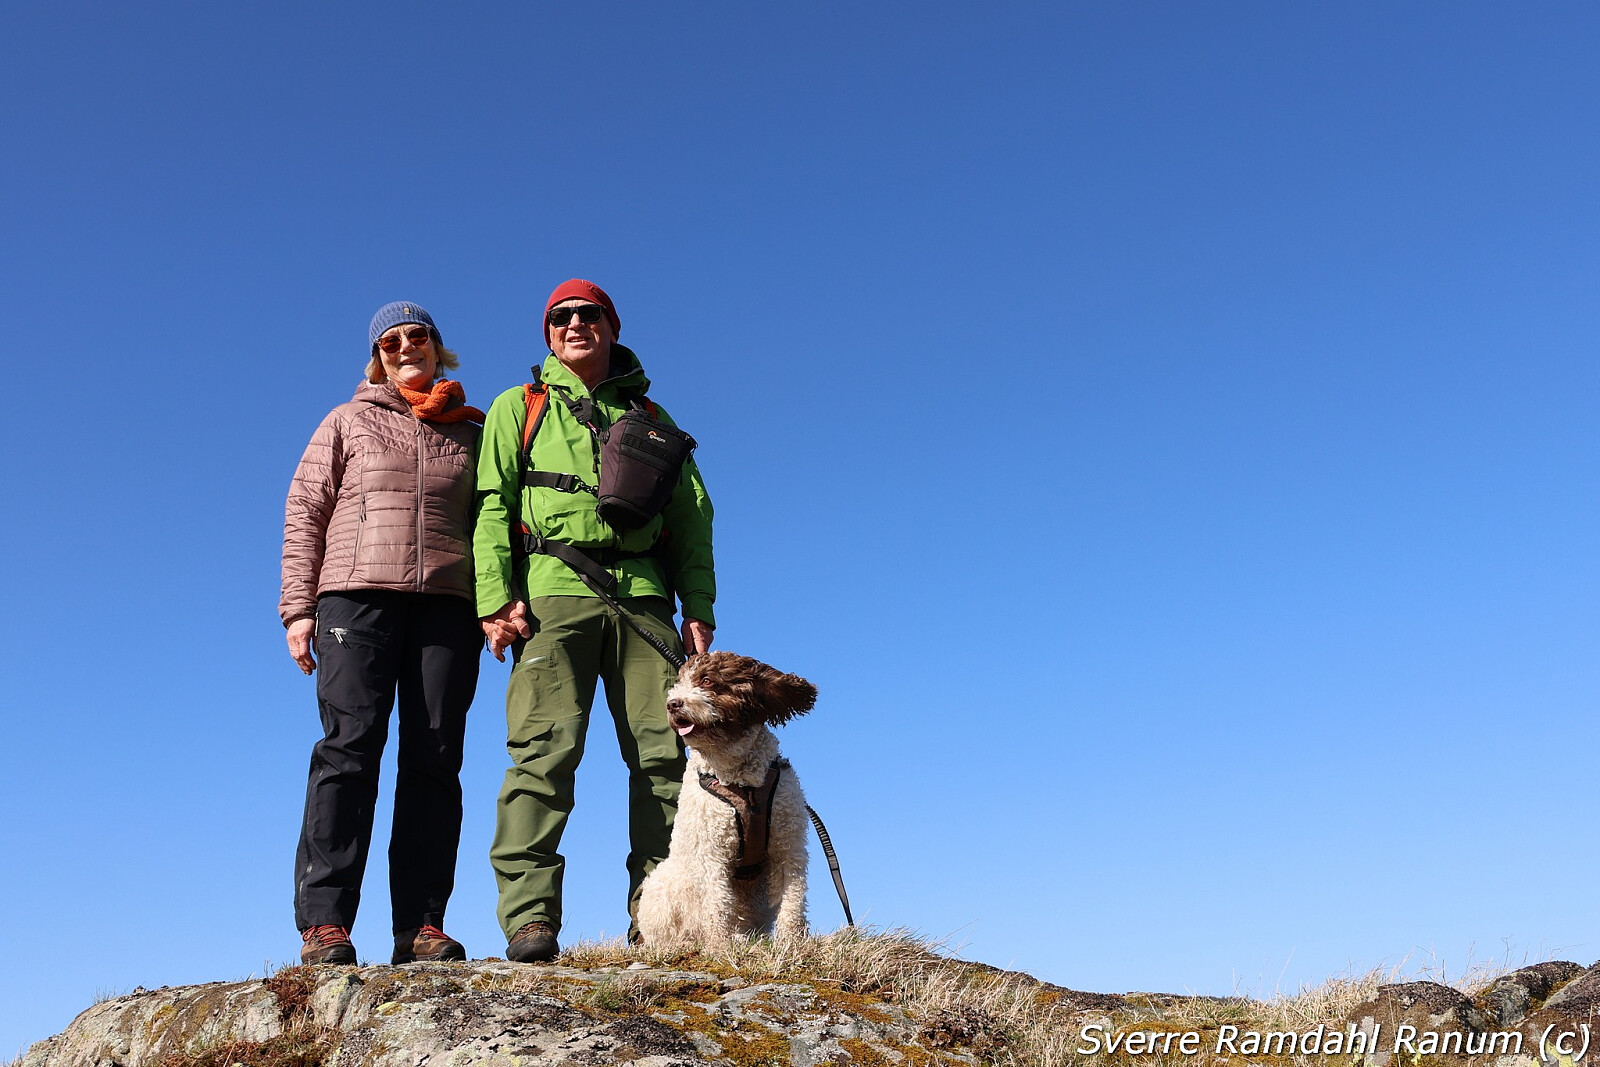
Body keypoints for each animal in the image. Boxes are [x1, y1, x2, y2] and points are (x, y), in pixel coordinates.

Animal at [636, 651, 817, 948]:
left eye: (707, 681)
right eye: (679, 683)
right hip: (659, 886)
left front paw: (792, 941)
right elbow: (717, 902)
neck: (741, 779)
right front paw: (719, 946)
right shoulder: (712, 850)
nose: (673, 704)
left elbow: (792, 897)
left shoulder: (786, 844)